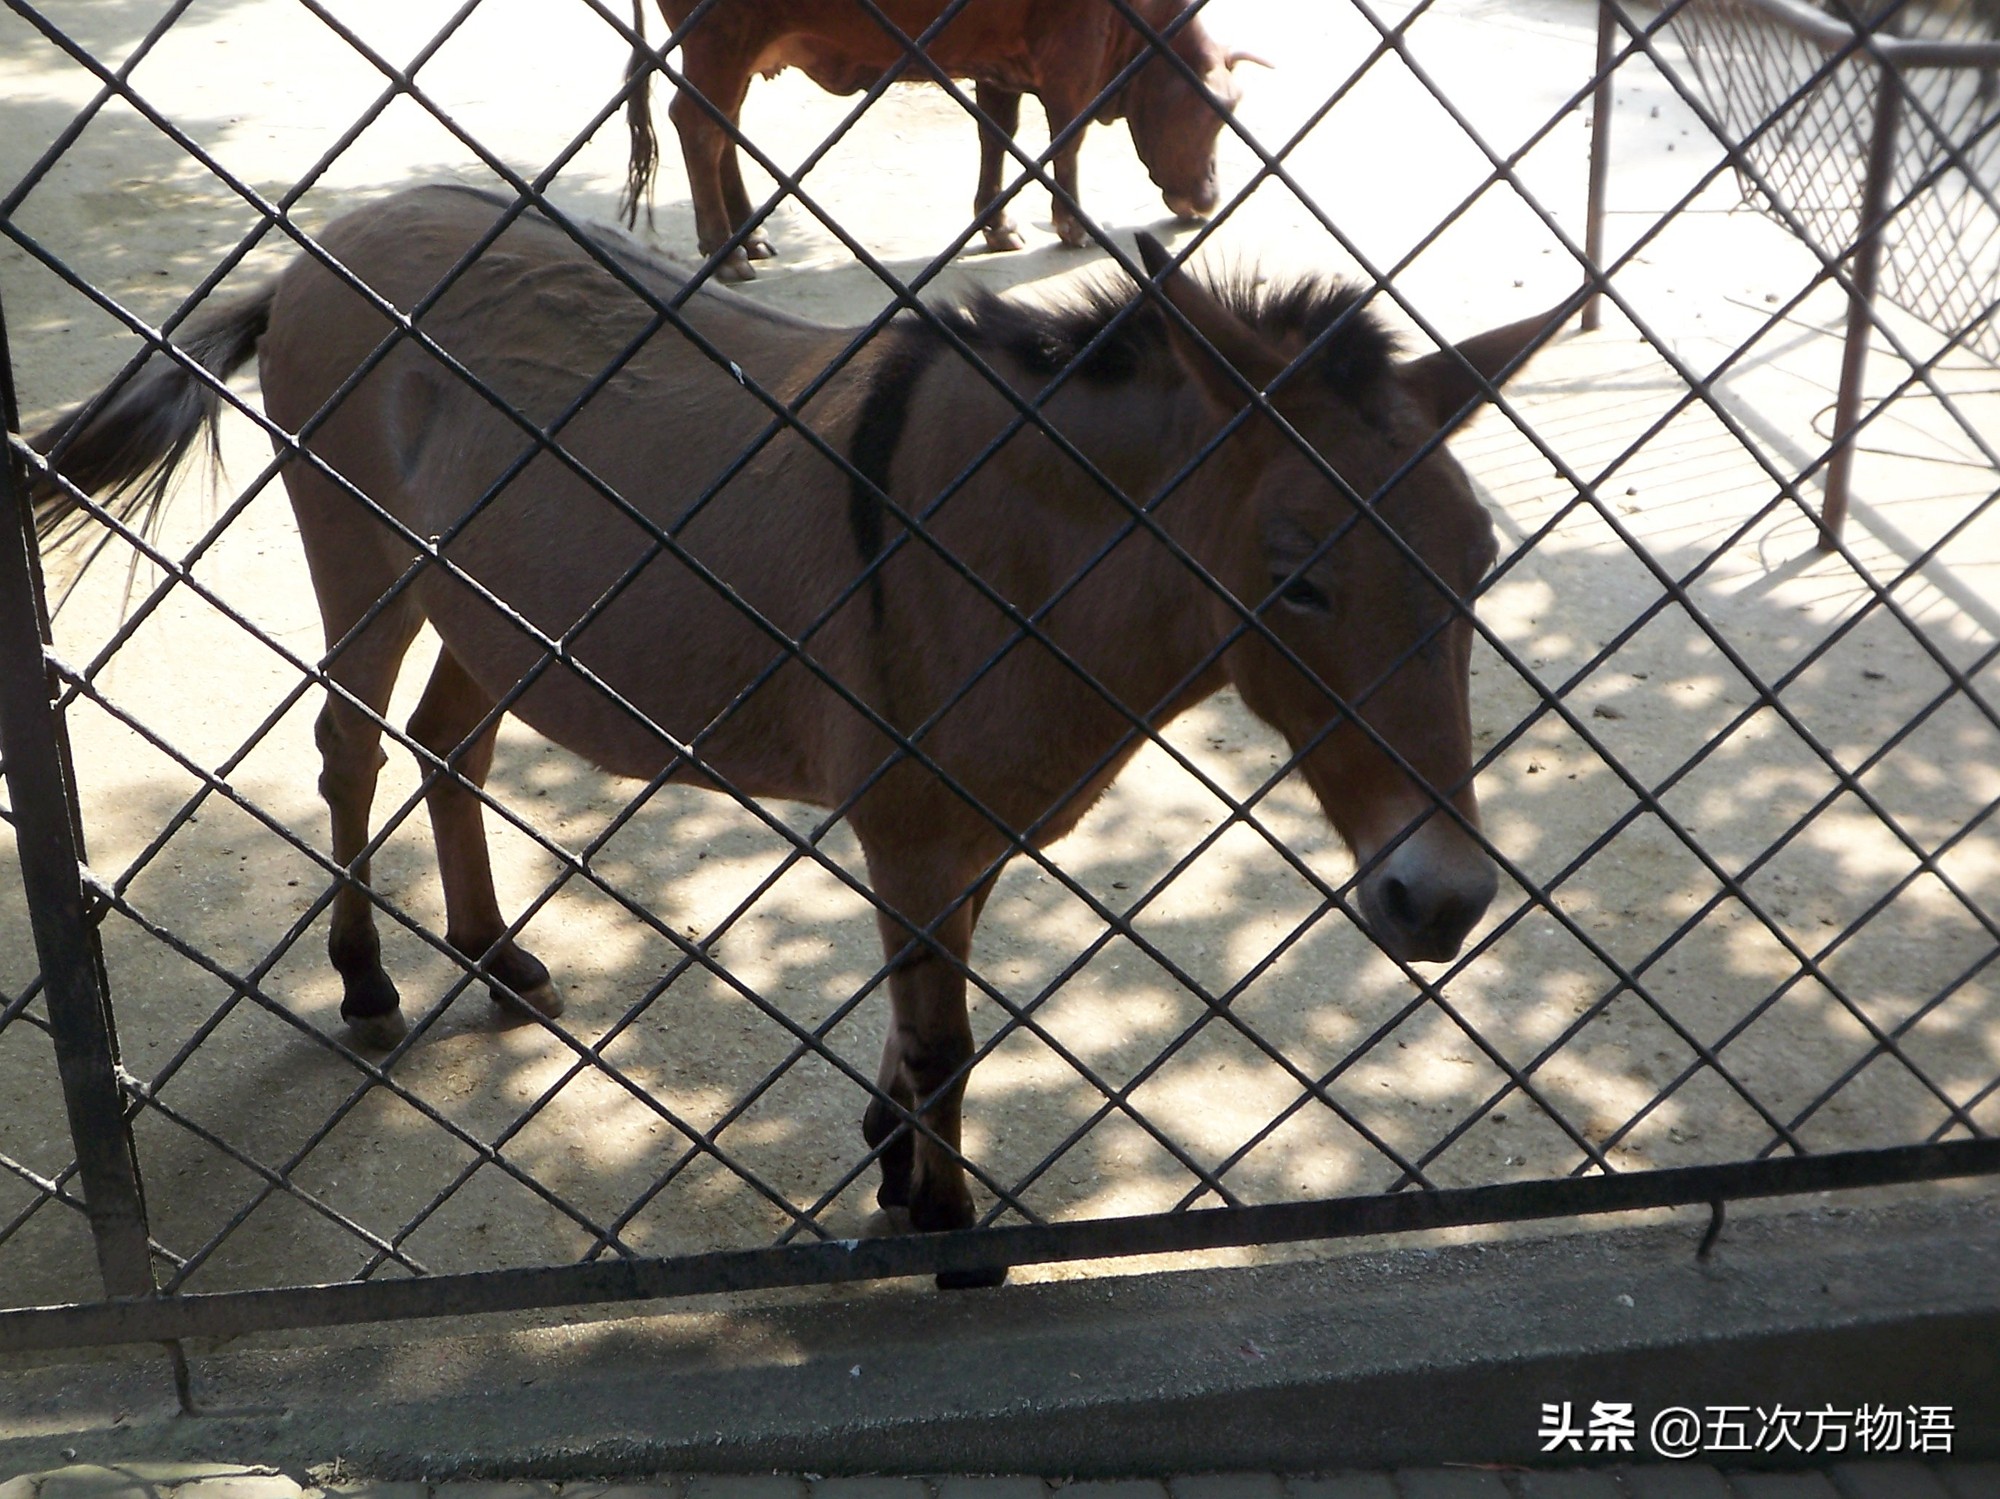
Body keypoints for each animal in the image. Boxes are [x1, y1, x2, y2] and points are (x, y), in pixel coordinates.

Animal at [30, 184, 1551, 1281]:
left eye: (1480, 564)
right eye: (1300, 579)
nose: (1442, 899)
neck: (1016, 543)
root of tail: (318, 249)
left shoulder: (961, 827)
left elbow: (933, 1009)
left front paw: (891, 1153)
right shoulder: (911, 823)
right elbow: (945, 1039)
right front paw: (944, 1225)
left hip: (496, 607)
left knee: (447, 743)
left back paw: (496, 957)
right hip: (367, 563)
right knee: (348, 748)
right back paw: (365, 979)